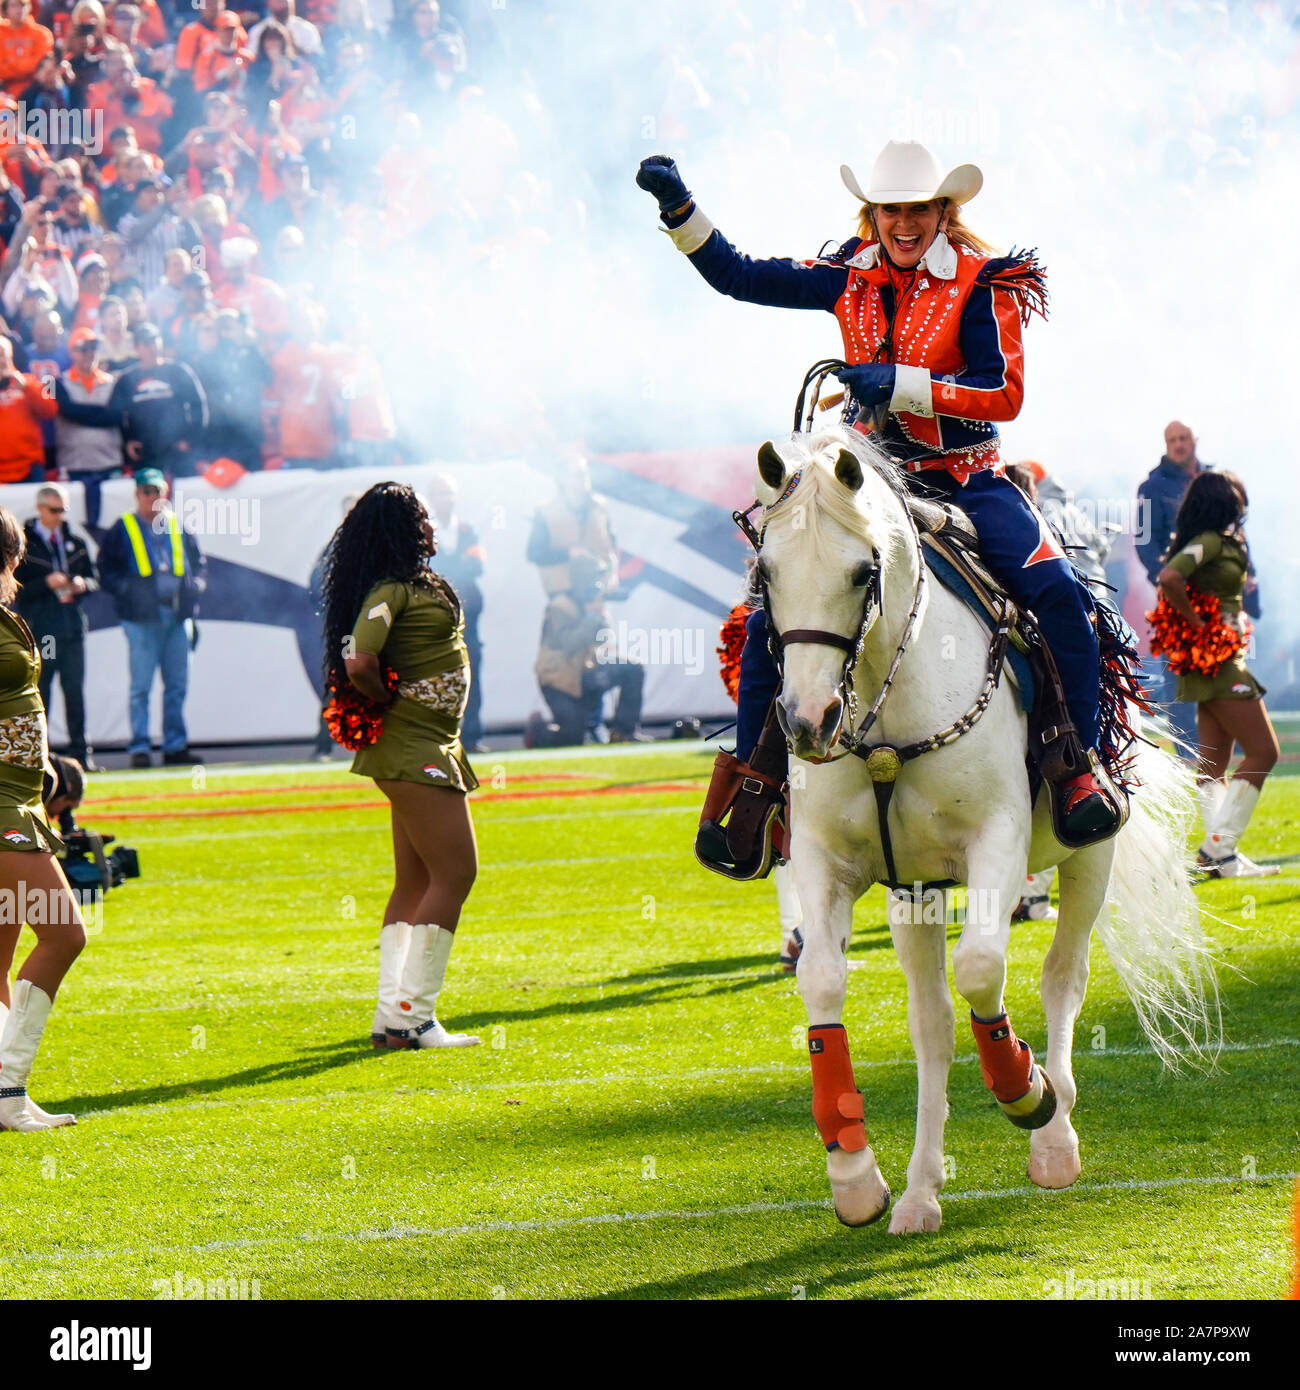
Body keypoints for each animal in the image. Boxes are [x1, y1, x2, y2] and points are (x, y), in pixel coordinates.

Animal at [750, 428, 1217, 1234]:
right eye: (767, 572)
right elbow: (823, 981)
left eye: (861, 571)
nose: (808, 722)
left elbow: (982, 969)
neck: (887, 707)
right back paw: (918, 1193)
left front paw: (1022, 1087)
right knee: (932, 1026)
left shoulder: (996, 841)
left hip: (1088, 858)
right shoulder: (825, 859)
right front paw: (853, 1174)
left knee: (1063, 977)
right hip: (915, 893)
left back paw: (1054, 1140)